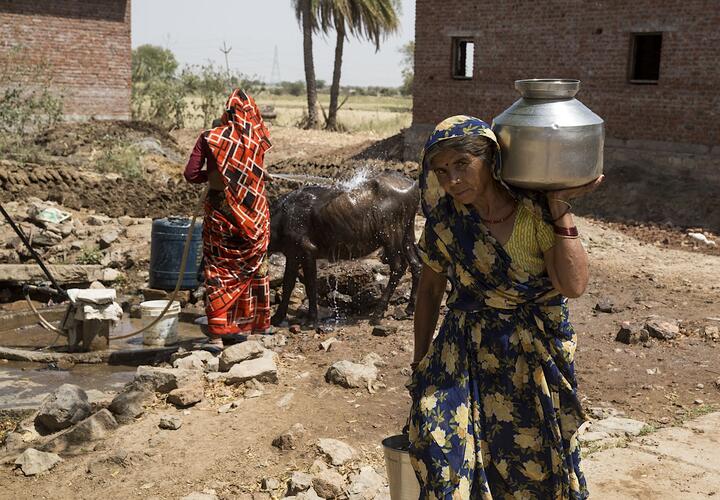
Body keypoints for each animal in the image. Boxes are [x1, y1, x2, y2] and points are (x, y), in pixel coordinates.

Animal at [270, 172, 422, 326]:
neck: (282, 218)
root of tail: (412, 185)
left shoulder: (307, 251)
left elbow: (310, 285)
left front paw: (311, 319)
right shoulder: (292, 254)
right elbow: (288, 284)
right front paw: (277, 317)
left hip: (390, 235)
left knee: (398, 266)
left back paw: (378, 312)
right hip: (407, 233)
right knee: (416, 264)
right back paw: (410, 308)